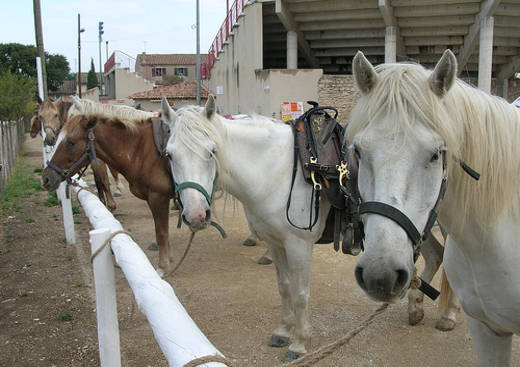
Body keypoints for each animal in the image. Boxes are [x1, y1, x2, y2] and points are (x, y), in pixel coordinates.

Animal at [41, 103, 176, 276]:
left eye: (71, 142)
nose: (46, 178)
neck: (141, 150)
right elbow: (163, 231)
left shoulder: (158, 198)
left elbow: (161, 233)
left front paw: (162, 267)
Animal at [160, 95, 458, 362]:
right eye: (169, 155)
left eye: (211, 151)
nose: (196, 215)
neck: (275, 171)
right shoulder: (274, 242)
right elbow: (284, 286)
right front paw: (283, 331)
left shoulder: (298, 244)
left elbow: (301, 293)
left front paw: (300, 343)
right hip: (417, 227)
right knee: (435, 256)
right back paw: (415, 308)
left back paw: (448, 316)